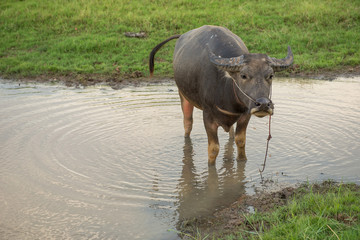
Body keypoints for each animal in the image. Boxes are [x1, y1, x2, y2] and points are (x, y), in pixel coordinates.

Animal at [149, 25, 292, 165]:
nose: (263, 104)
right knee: (187, 123)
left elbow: (240, 141)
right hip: (183, 95)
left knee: (231, 133)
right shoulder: (208, 116)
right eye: (243, 75)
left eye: (270, 75)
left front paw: (242, 160)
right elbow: (213, 149)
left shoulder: (245, 114)